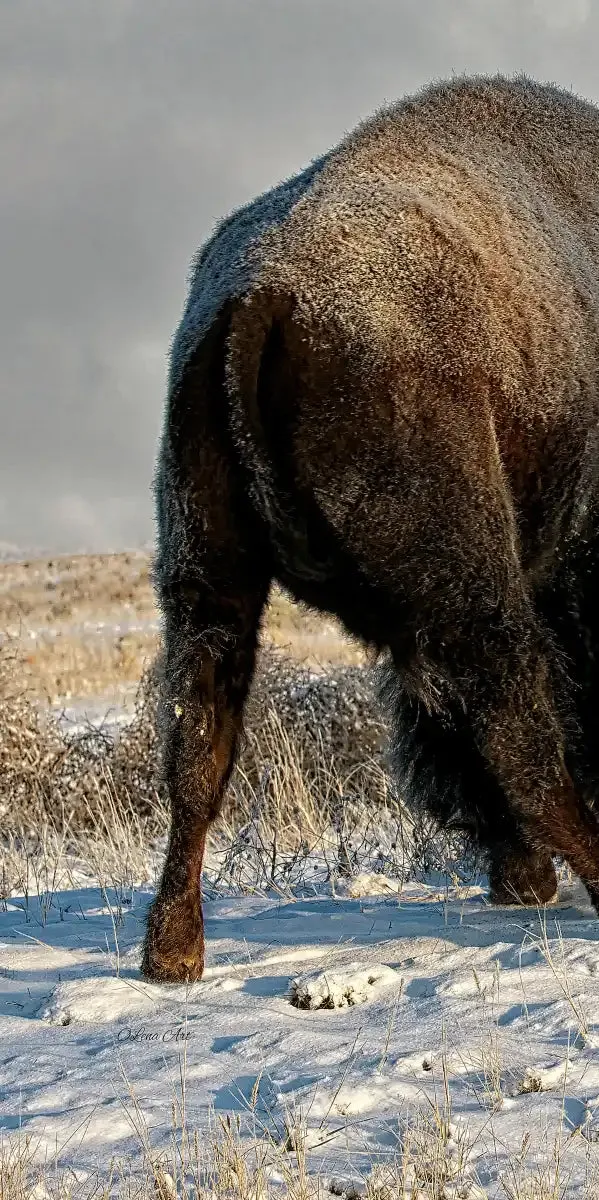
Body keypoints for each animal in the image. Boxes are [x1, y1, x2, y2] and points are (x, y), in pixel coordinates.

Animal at [142, 70, 599, 979]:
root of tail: (262, 295)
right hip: (467, 588)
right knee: (518, 733)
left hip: (205, 569)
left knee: (195, 744)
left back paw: (170, 954)